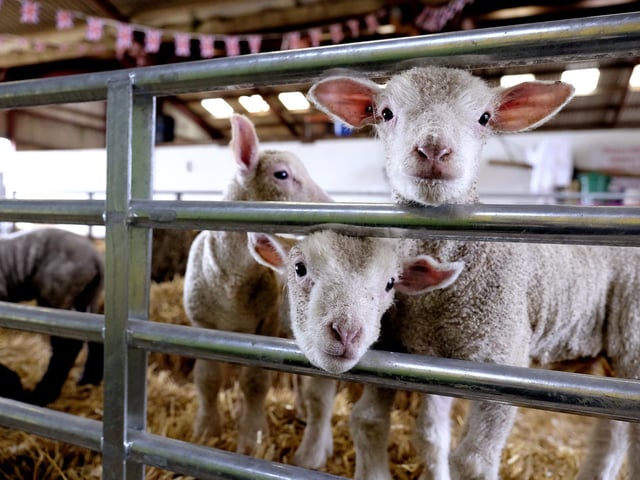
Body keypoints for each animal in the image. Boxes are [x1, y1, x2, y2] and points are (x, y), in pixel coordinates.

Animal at [0, 227, 104, 406]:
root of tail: (95, 256)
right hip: (88, 295)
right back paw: (89, 379)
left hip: (57, 292)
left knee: (66, 345)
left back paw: (43, 395)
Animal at [182, 113, 335, 464]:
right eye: (282, 174)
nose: (332, 205)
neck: (230, 279)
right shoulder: (201, 324)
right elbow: (207, 380)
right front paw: (206, 429)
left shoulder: (265, 326)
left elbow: (255, 383)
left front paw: (252, 437)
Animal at [307, 66, 640, 480]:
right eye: (385, 113)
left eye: (484, 118)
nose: (433, 150)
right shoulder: (424, 355)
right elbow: (422, 434)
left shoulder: (501, 360)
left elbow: (473, 461)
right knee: (612, 433)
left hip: (632, 342)